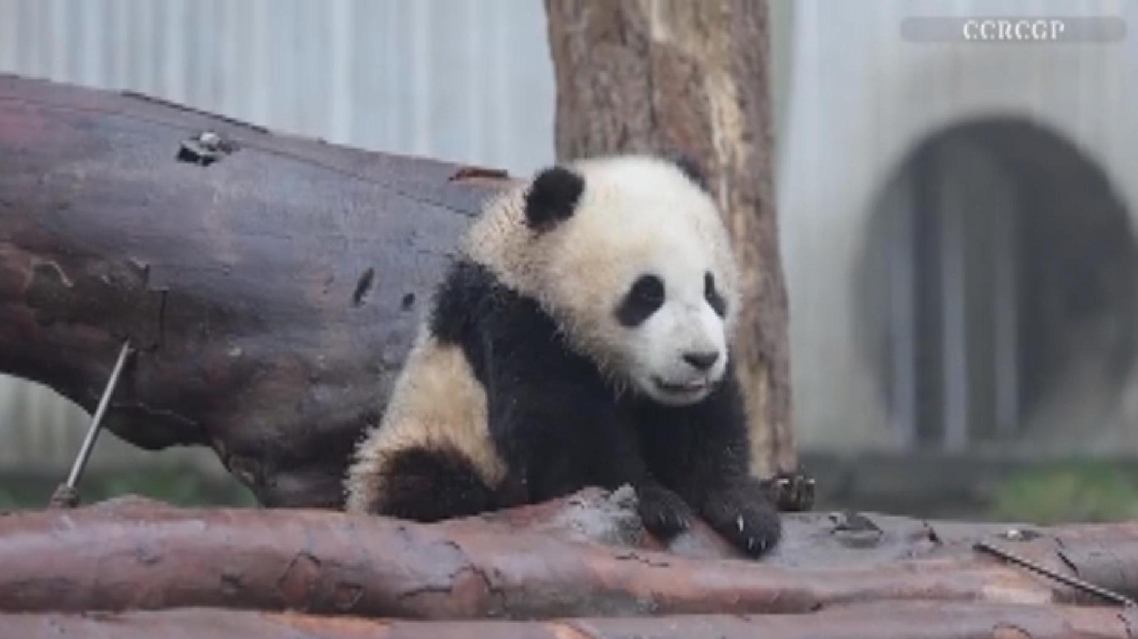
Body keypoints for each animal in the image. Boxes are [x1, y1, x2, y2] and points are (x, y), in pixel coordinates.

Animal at [344, 152, 781, 557]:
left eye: (711, 289)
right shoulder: (517, 320)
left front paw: (747, 511)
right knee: (422, 479)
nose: (701, 358)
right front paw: (656, 502)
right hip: (425, 433)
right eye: (648, 293)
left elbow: (706, 423)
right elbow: (564, 428)